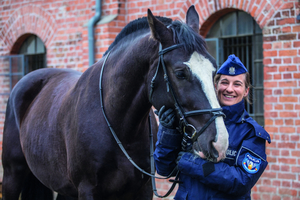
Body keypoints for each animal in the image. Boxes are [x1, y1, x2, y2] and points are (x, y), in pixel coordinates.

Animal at [1, 5, 227, 200]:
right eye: (180, 73)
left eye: (214, 70)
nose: (220, 142)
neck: (119, 126)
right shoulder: (87, 190)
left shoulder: (143, 190)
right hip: (13, 175)